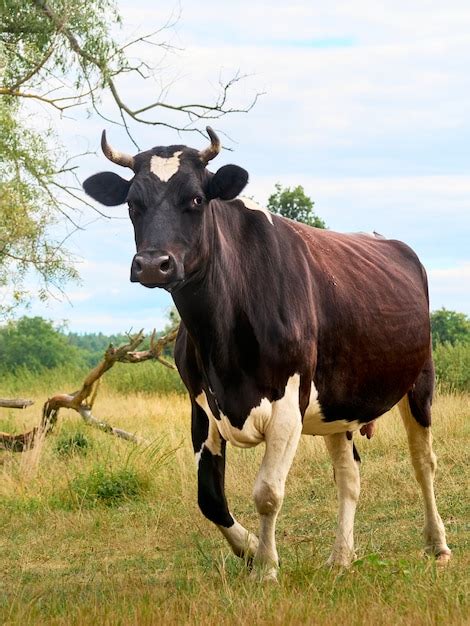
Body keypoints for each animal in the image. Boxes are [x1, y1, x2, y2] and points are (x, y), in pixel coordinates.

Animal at [84, 127, 452, 580]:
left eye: (197, 199)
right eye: (133, 203)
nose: (154, 264)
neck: (221, 338)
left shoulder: (289, 401)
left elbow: (268, 492)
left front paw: (265, 567)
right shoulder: (201, 405)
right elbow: (210, 498)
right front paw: (250, 548)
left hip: (419, 382)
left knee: (423, 463)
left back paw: (437, 544)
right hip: (339, 403)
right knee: (349, 475)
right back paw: (341, 557)